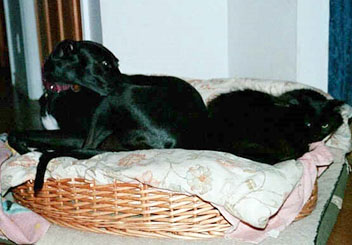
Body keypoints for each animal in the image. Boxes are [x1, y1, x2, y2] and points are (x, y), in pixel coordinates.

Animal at [8, 40, 208, 192]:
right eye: (105, 64)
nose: (128, 80)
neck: (62, 90)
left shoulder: (77, 135)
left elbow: (15, 133)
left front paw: (26, 150)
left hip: (112, 99)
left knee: (84, 148)